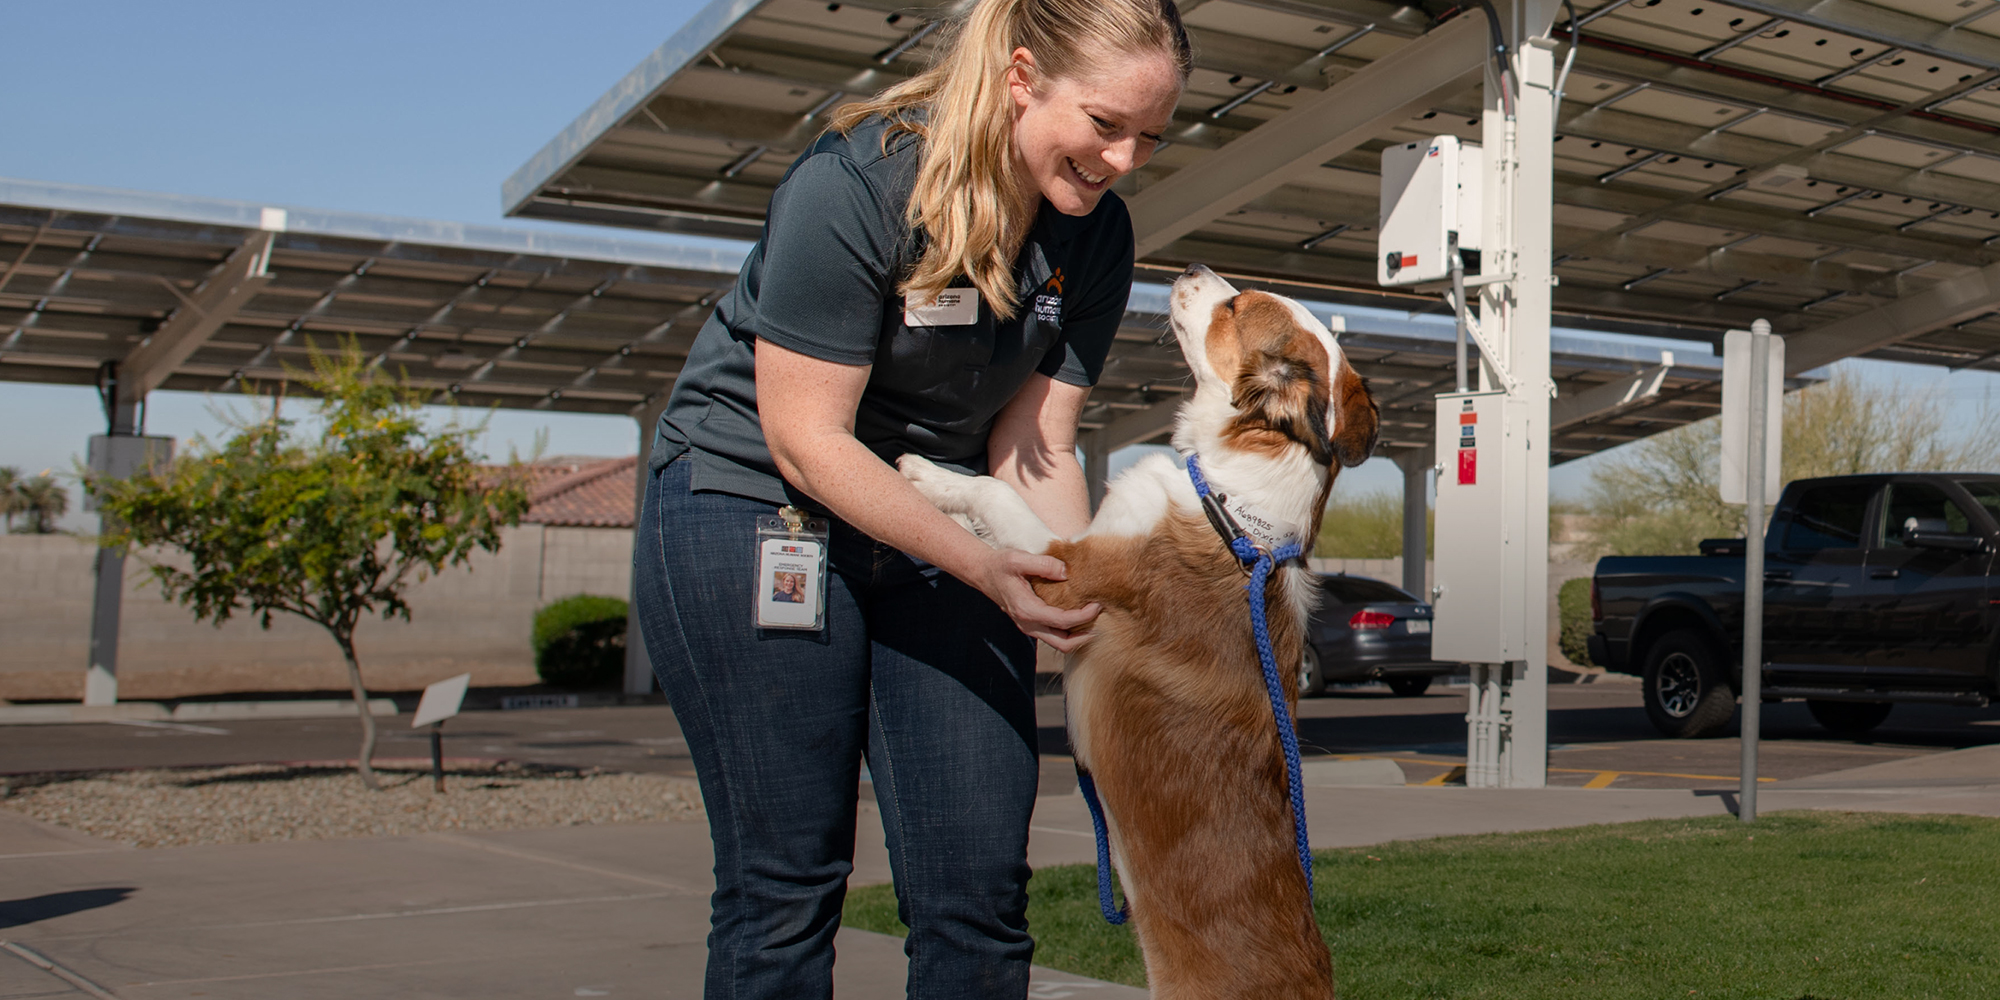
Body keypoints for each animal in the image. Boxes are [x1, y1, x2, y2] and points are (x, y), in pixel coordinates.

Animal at [904, 262, 1384, 996]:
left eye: (1236, 306)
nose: (1189, 268)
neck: (1231, 509)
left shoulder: (1066, 570)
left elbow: (994, 491)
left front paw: (927, 475)